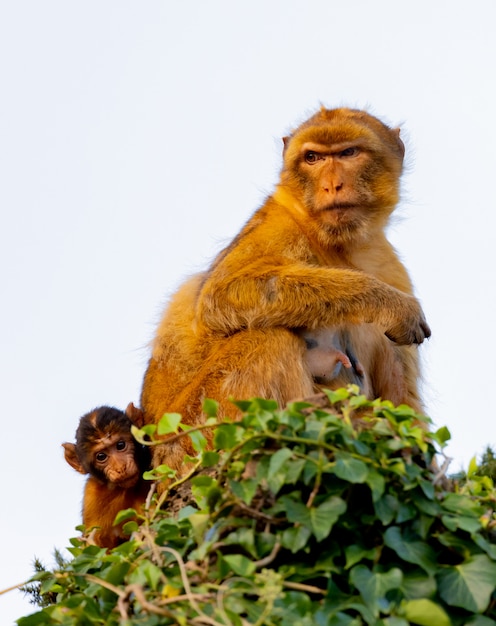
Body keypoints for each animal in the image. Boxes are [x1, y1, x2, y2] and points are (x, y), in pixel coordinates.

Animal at [140, 107, 430, 476]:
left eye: (349, 153)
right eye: (313, 157)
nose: (331, 185)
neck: (341, 246)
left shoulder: (392, 268)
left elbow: (402, 401)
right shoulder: (279, 222)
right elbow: (220, 296)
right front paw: (386, 303)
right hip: (194, 440)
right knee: (269, 339)